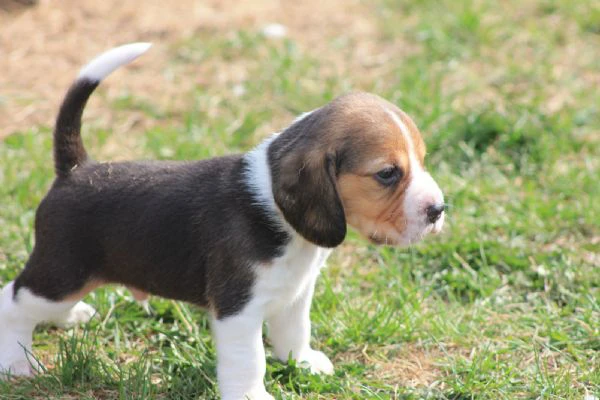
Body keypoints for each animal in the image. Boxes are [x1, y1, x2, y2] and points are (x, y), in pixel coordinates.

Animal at [0, 43, 440, 400]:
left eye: (422, 159)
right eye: (387, 174)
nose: (438, 209)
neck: (277, 214)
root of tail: (75, 170)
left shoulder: (296, 293)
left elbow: (295, 331)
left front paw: (303, 363)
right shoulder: (238, 310)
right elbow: (250, 360)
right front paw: (251, 396)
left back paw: (69, 317)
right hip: (60, 274)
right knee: (13, 299)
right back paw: (17, 362)